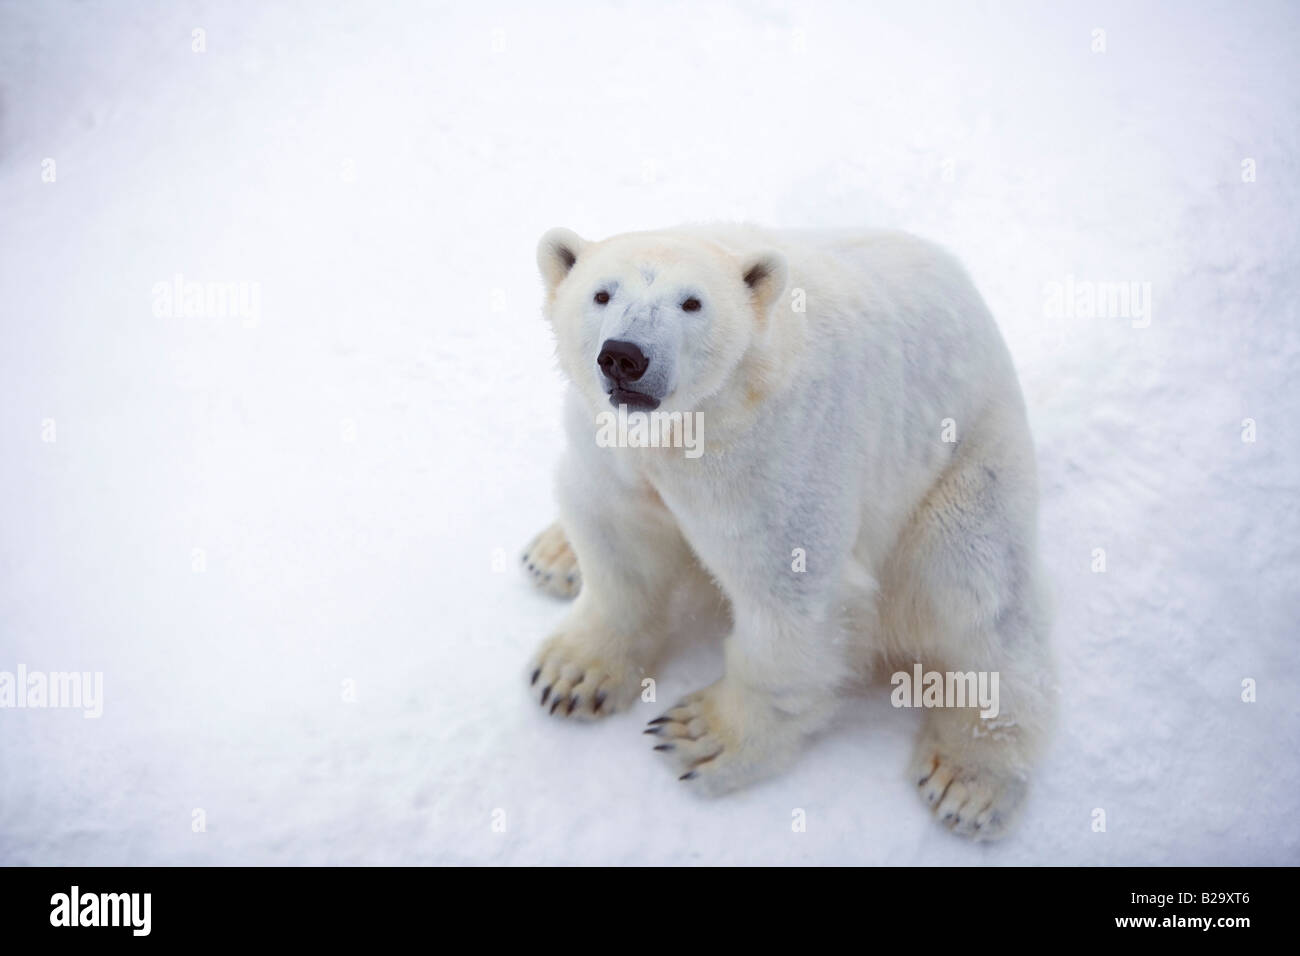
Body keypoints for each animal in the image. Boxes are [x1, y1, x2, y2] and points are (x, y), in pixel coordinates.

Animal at [522, 222, 1050, 837]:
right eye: (601, 294)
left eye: (692, 302)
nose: (625, 357)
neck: (698, 424)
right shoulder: (613, 453)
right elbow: (616, 541)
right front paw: (571, 675)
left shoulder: (776, 458)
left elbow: (788, 600)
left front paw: (703, 736)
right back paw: (550, 555)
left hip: (967, 468)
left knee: (979, 602)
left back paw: (968, 780)